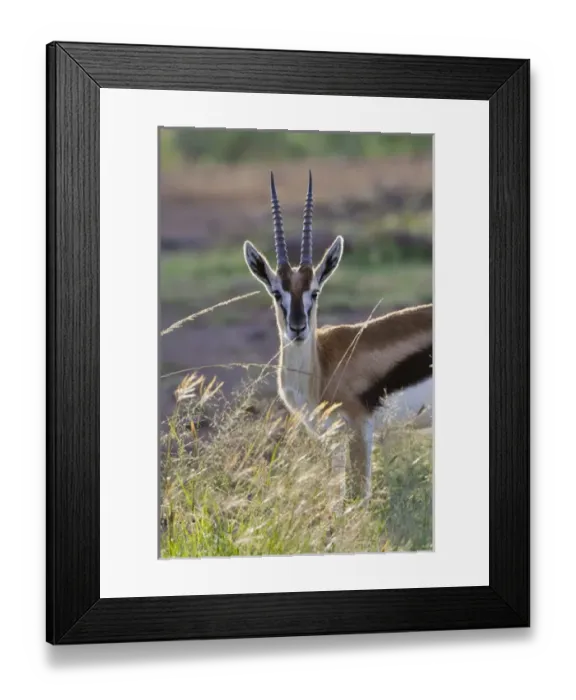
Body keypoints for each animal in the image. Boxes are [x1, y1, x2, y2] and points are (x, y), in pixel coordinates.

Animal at [243, 171, 433, 501]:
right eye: (277, 293)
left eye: (315, 292)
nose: (297, 328)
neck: (320, 368)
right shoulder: (333, 439)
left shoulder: (358, 429)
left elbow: (357, 499)